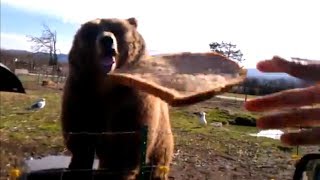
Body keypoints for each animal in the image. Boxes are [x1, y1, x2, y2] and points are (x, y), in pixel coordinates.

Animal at [61, 17, 174, 180]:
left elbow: (126, 144)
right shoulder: (81, 90)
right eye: (92, 31)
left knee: (158, 161)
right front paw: (75, 169)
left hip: (162, 136)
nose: (107, 40)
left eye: (116, 29)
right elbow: (79, 133)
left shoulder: (132, 99)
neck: (104, 83)